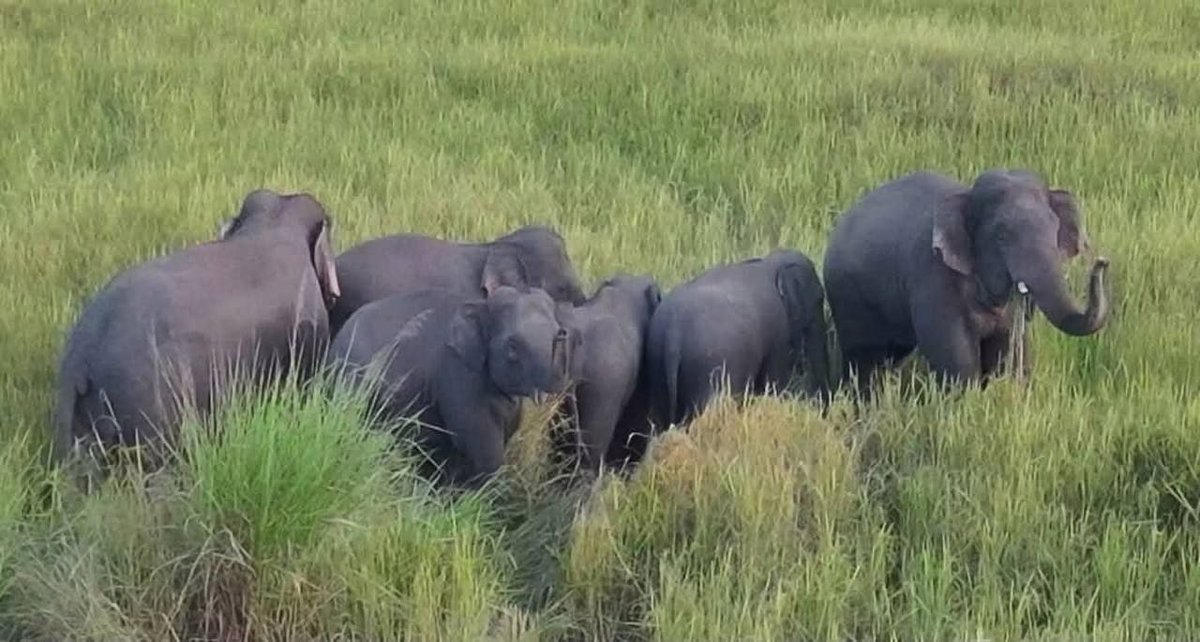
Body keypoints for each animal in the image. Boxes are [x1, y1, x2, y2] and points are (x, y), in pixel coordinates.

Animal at [643, 249, 831, 429]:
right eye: (819, 299)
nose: (823, 413)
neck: (771, 262)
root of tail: (673, 333)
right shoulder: (777, 332)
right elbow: (773, 381)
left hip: (658, 364)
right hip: (710, 369)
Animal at [822, 169, 1110, 394]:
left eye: (1054, 229)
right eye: (1002, 235)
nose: (1103, 262)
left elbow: (1008, 351)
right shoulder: (933, 280)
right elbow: (958, 359)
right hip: (847, 297)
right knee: (864, 358)